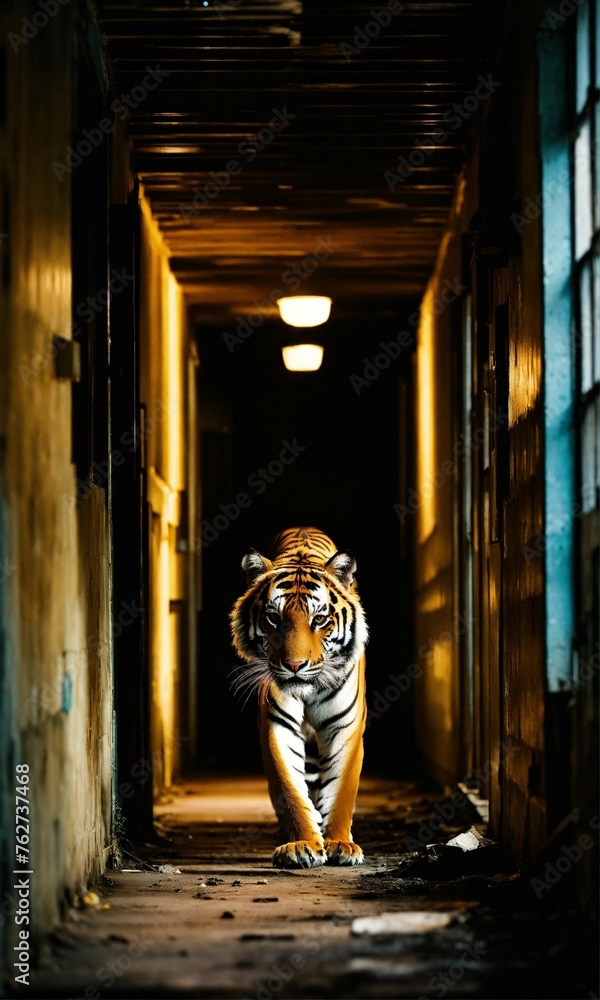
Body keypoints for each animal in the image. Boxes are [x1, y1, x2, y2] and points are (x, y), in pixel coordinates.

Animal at [231, 524, 368, 868]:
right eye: (273, 618)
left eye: (319, 619)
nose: (294, 666)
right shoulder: (277, 725)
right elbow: (290, 787)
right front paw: (303, 843)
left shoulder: (345, 727)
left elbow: (342, 787)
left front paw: (340, 843)